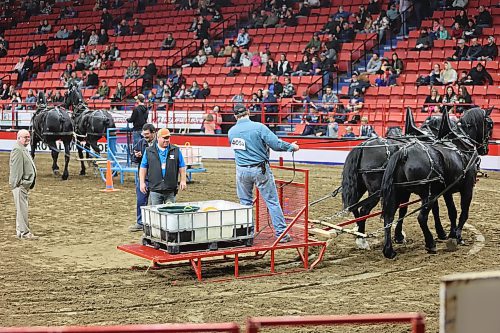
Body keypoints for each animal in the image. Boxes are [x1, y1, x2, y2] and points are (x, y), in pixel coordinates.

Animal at [340, 109, 454, 249]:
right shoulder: (419, 189)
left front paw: (399, 235)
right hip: (375, 191)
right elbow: (409, 209)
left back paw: (358, 231)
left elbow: (403, 209)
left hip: (360, 186)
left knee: (354, 206)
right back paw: (362, 239)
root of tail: (364, 145)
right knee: (364, 210)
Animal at [382, 107, 492, 258]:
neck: (462, 145)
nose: (485, 149)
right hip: (428, 194)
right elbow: (464, 212)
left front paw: (451, 233)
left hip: (400, 191)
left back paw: (389, 250)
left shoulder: (447, 191)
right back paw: (430, 244)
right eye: (490, 125)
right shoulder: (467, 188)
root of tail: (404, 153)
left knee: (389, 217)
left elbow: (452, 211)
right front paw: (458, 236)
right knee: (421, 218)